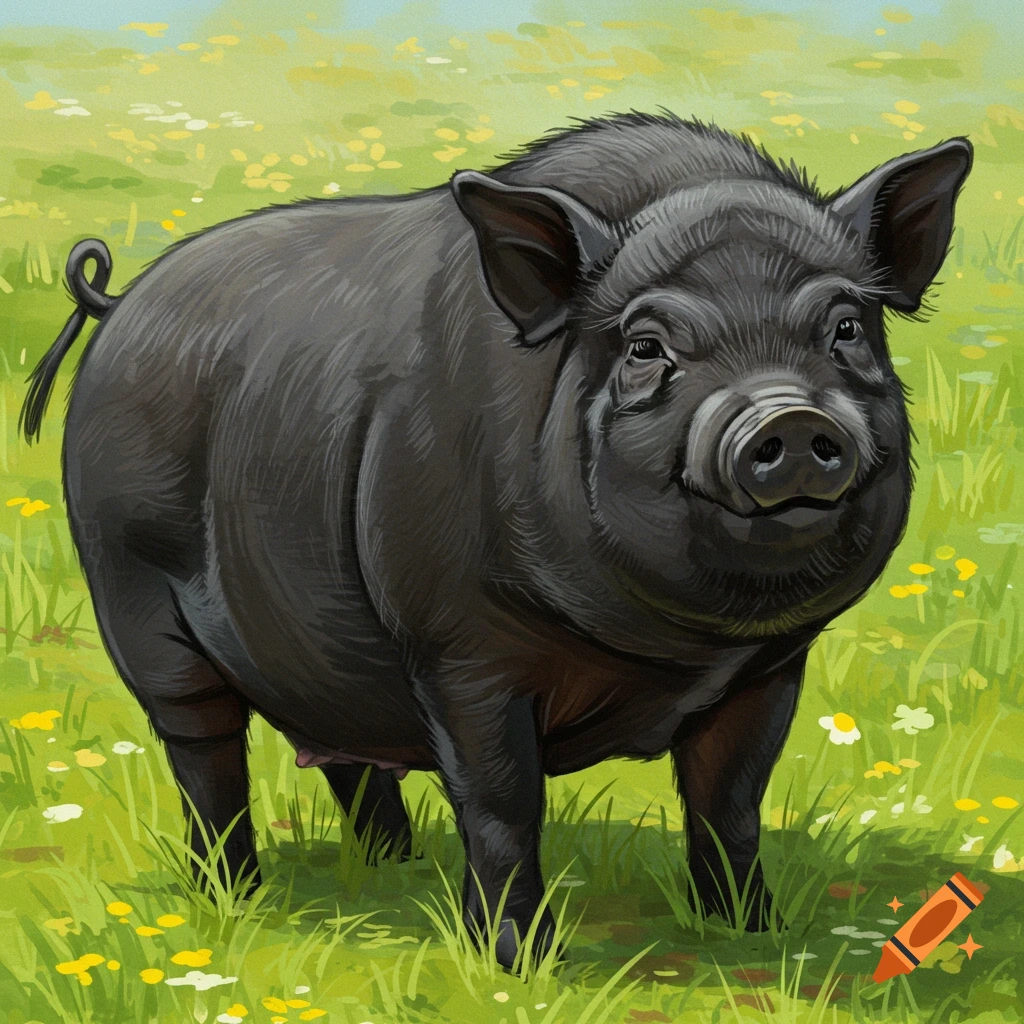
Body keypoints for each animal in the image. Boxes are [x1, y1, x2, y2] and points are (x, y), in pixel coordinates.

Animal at [21, 112, 971, 967]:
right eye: (646, 346)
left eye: (844, 328)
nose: (790, 415)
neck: (675, 652)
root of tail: (118, 300)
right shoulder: (460, 651)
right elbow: (503, 803)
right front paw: (519, 963)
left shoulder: (770, 668)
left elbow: (729, 801)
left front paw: (754, 934)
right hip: (135, 596)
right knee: (205, 753)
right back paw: (235, 896)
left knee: (346, 749)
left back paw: (392, 870)